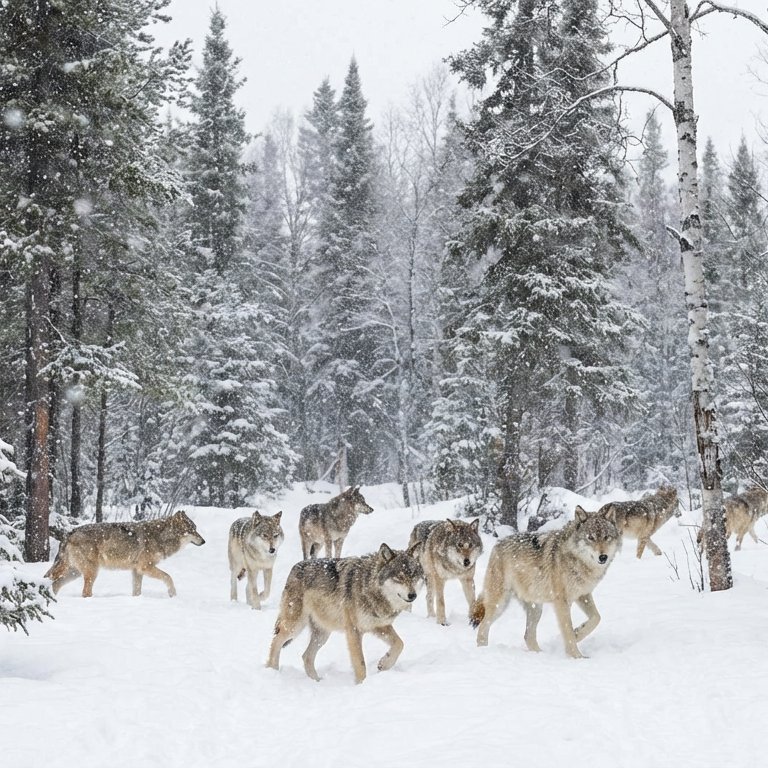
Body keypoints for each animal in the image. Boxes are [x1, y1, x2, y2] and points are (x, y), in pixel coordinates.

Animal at [44, 510, 205, 597]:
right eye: (192, 530)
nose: (204, 541)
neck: (160, 536)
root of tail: (69, 532)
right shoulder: (145, 567)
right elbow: (168, 577)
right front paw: (172, 594)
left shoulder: (136, 571)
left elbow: (137, 591)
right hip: (91, 572)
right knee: (84, 593)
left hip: (75, 573)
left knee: (55, 585)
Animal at [266, 542, 424, 684]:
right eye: (399, 577)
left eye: (414, 576)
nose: (413, 595)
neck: (368, 586)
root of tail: (294, 567)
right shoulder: (354, 631)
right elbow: (360, 664)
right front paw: (362, 685)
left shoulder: (379, 626)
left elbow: (400, 644)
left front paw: (384, 664)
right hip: (295, 626)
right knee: (276, 641)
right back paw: (272, 670)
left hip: (322, 635)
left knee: (306, 656)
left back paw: (317, 681)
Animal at [470, 506, 620, 659]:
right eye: (590, 538)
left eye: (606, 537)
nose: (603, 557)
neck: (578, 561)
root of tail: (497, 545)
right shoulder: (561, 601)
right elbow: (568, 631)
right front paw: (577, 657)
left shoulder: (583, 594)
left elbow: (596, 618)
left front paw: (578, 633)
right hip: (500, 604)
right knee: (483, 627)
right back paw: (483, 651)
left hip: (535, 608)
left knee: (528, 636)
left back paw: (540, 654)